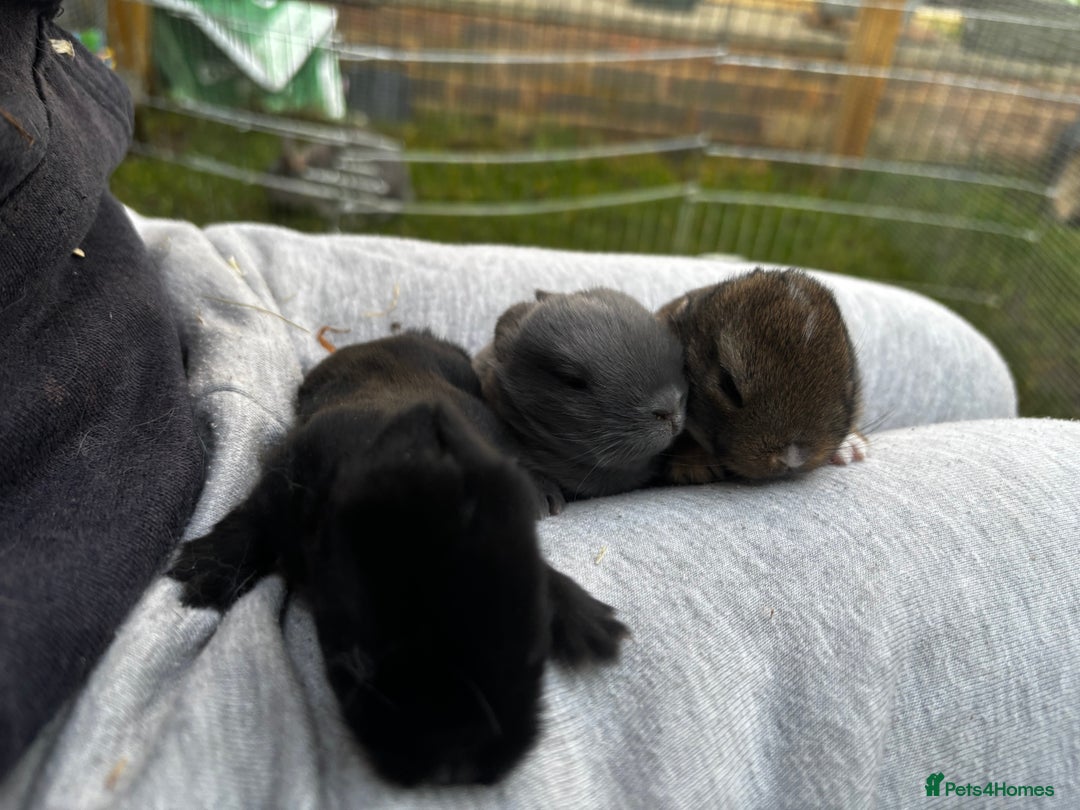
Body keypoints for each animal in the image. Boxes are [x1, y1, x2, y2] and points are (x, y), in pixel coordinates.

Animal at [168, 330, 628, 787]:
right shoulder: (287, 474)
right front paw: (204, 571)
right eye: (357, 662)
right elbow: (253, 519)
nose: (453, 769)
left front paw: (588, 621)